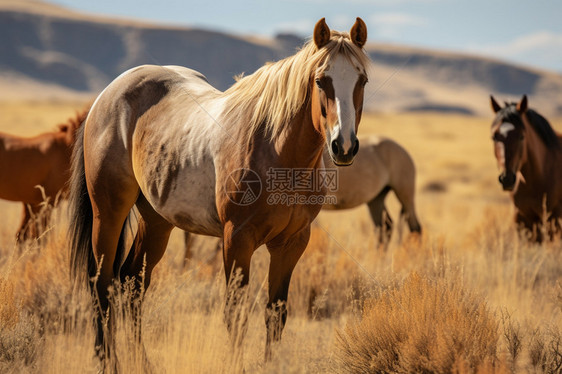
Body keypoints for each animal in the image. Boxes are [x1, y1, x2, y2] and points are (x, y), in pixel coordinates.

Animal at [68, 16, 370, 364]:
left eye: (362, 80)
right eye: (321, 81)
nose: (343, 146)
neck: (277, 150)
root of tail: (105, 97)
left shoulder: (291, 243)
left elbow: (275, 314)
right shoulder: (236, 239)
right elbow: (235, 316)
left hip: (156, 221)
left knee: (132, 282)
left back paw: (142, 363)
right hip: (108, 214)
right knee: (102, 286)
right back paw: (108, 361)